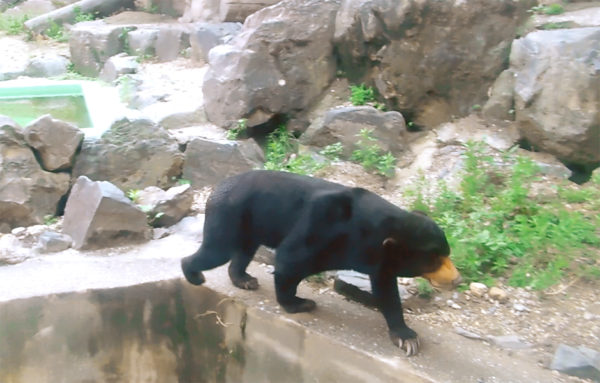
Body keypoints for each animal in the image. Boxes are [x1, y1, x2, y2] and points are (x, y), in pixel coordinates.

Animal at [180, 171, 462, 356]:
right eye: (434, 259)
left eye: (447, 253)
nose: (457, 279)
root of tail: (216, 187)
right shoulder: (322, 225)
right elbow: (289, 259)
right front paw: (300, 303)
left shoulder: (379, 258)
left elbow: (386, 290)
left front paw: (407, 337)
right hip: (230, 215)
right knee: (216, 251)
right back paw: (193, 274)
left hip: (247, 223)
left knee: (242, 252)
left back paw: (244, 279)